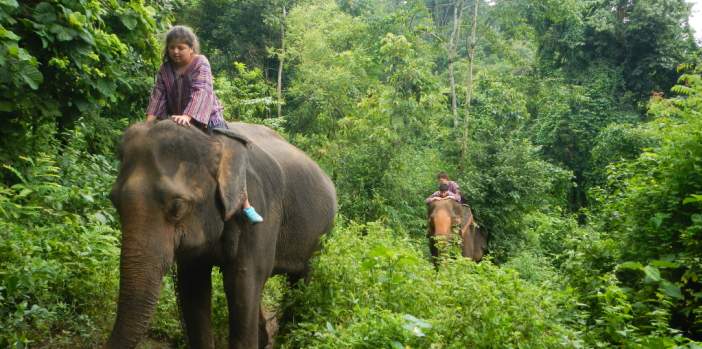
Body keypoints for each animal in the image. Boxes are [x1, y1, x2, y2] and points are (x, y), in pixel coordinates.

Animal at [106, 118, 340, 346]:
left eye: (177, 206)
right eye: (113, 200)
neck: (212, 140)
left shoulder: (260, 209)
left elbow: (243, 283)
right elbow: (194, 286)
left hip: (321, 233)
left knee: (301, 281)